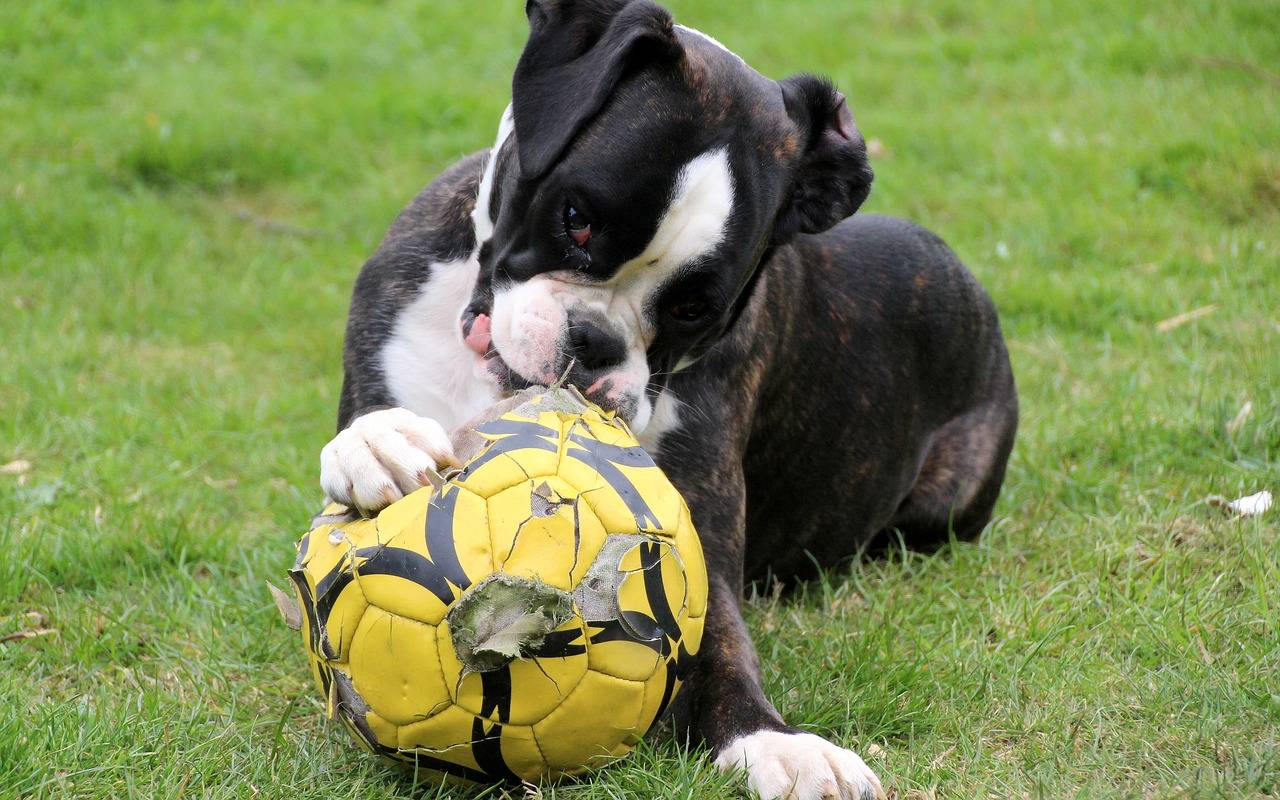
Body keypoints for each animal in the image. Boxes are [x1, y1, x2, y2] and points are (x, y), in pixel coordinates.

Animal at [314, 3, 1013, 793]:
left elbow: (721, 648)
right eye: (576, 217)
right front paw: (379, 442)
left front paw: (778, 744)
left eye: (693, 309)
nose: (594, 342)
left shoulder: (694, 537)